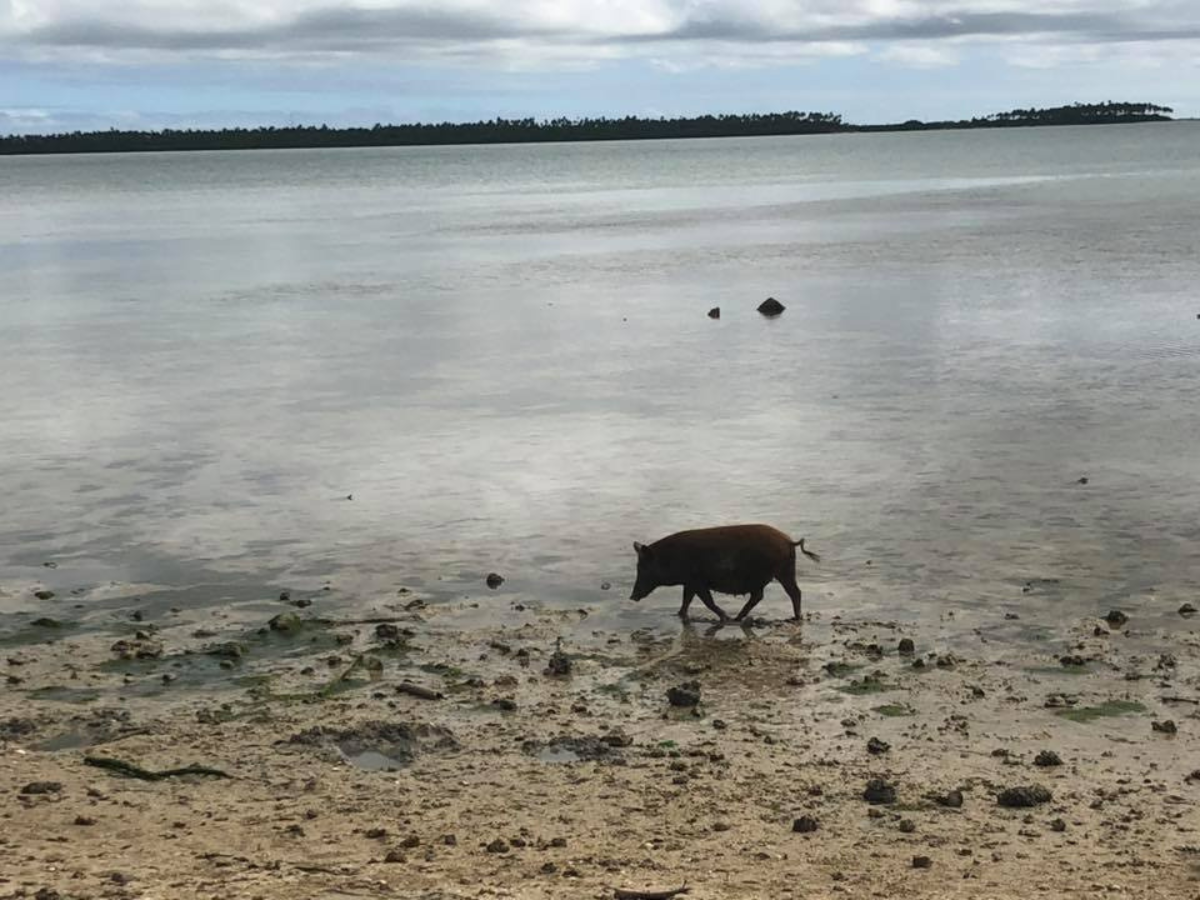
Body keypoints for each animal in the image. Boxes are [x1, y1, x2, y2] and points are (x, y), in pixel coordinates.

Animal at [630, 524, 820, 622]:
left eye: (643, 568)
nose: (632, 597)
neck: (671, 558)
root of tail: (789, 541)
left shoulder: (697, 581)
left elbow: (707, 601)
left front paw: (724, 617)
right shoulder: (689, 583)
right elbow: (686, 600)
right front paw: (679, 615)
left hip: (773, 573)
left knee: (774, 594)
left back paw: (736, 619)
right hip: (785, 570)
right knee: (787, 593)